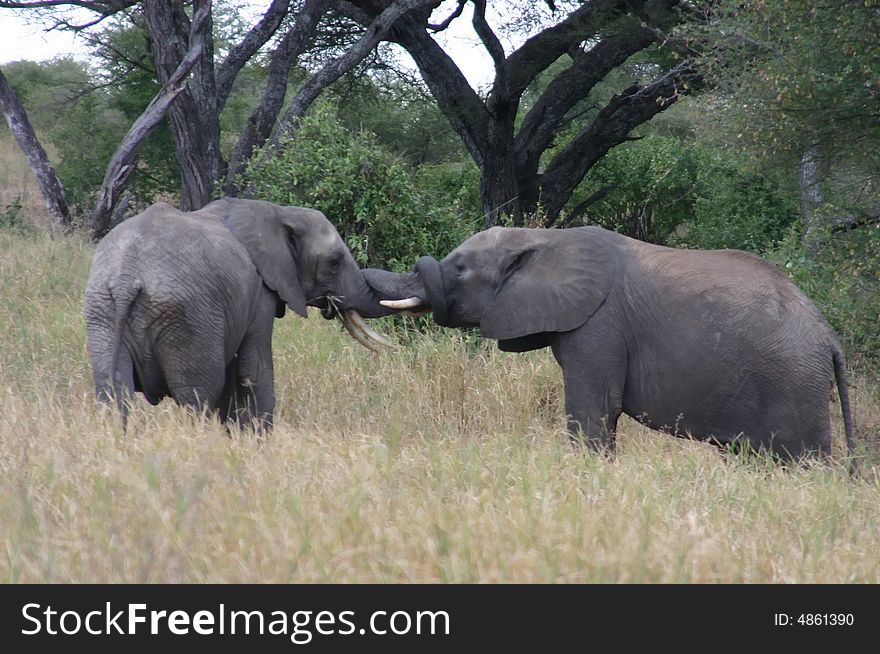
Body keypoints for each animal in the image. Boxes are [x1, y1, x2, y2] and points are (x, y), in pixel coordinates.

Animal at [86, 196, 396, 430]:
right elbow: (253, 367)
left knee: (114, 392)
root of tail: (127, 276)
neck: (281, 212)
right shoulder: (260, 293)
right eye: (334, 262)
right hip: (185, 318)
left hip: (103, 313)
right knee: (197, 396)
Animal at [368, 228, 856, 464]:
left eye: (459, 268)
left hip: (793, 382)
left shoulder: (599, 327)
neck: (542, 235)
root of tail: (829, 338)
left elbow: (595, 410)